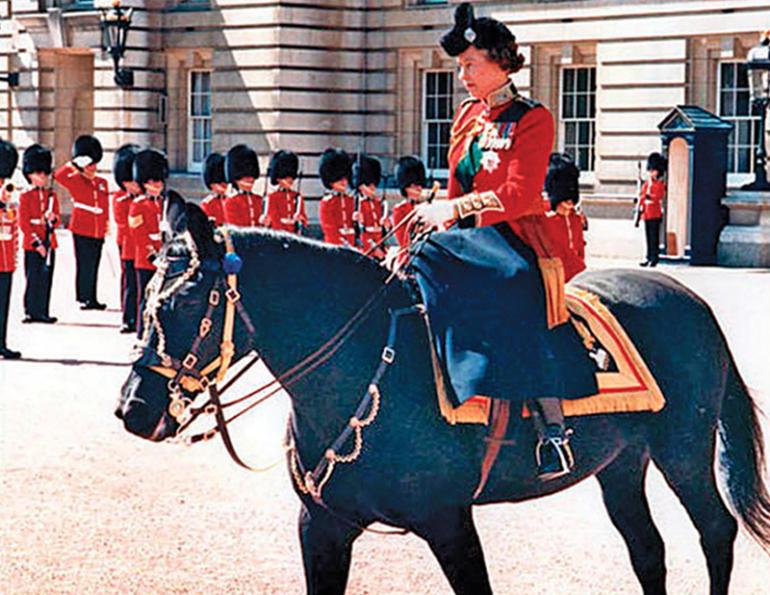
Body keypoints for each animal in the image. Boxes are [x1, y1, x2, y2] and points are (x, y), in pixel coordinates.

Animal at [115, 199, 768, 595]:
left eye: (182, 303)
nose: (133, 410)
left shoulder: (450, 524)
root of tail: (687, 294)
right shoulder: (321, 526)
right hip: (621, 463)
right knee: (647, 548)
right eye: (147, 299)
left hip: (683, 451)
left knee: (715, 531)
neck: (362, 369)